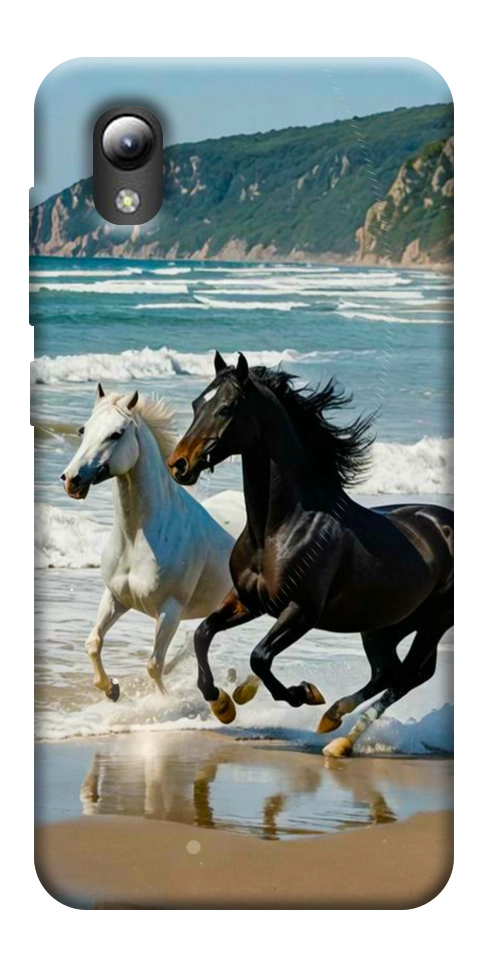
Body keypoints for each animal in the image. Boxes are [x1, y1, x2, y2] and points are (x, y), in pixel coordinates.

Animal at [61, 383, 234, 701]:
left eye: (116, 433)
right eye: (83, 429)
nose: (71, 480)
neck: (137, 538)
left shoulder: (170, 611)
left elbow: (154, 664)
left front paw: (162, 703)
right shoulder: (116, 597)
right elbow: (93, 643)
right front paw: (111, 689)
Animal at [167, 352, 454, 757]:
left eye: (225, 408)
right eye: (196, 404)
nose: (179, 464)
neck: (279, 528)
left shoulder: (302, 611)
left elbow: (260, 656)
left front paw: (302, 693)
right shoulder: (248, 601)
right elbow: (203, 634)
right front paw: (222, 703)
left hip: (434, 621)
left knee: (409, 675)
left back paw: (340, 737)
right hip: (384, 625)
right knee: (389, 671)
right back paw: (333, 720)